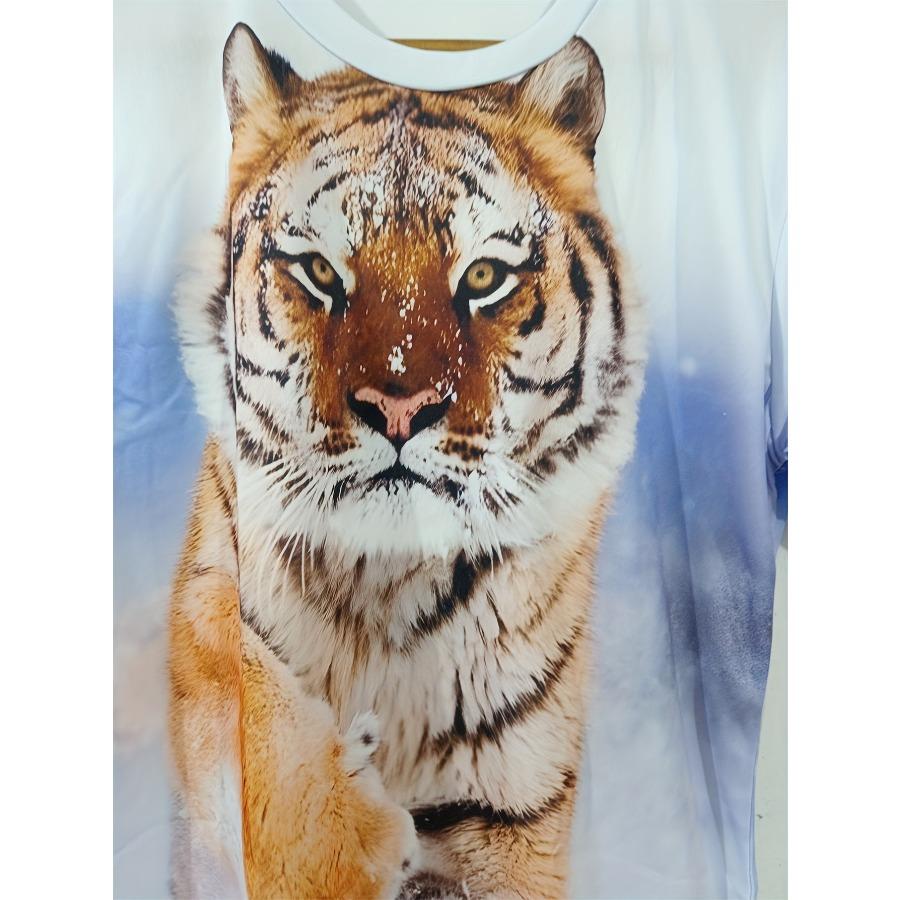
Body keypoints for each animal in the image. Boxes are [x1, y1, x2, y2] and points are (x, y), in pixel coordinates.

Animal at [169, 21, 645, 900]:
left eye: (484, 276)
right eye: (319, 271)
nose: (399, 408)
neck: (383, 597)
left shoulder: (517, 813)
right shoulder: (207, 584)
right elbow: (238, 672)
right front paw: (346, 840)